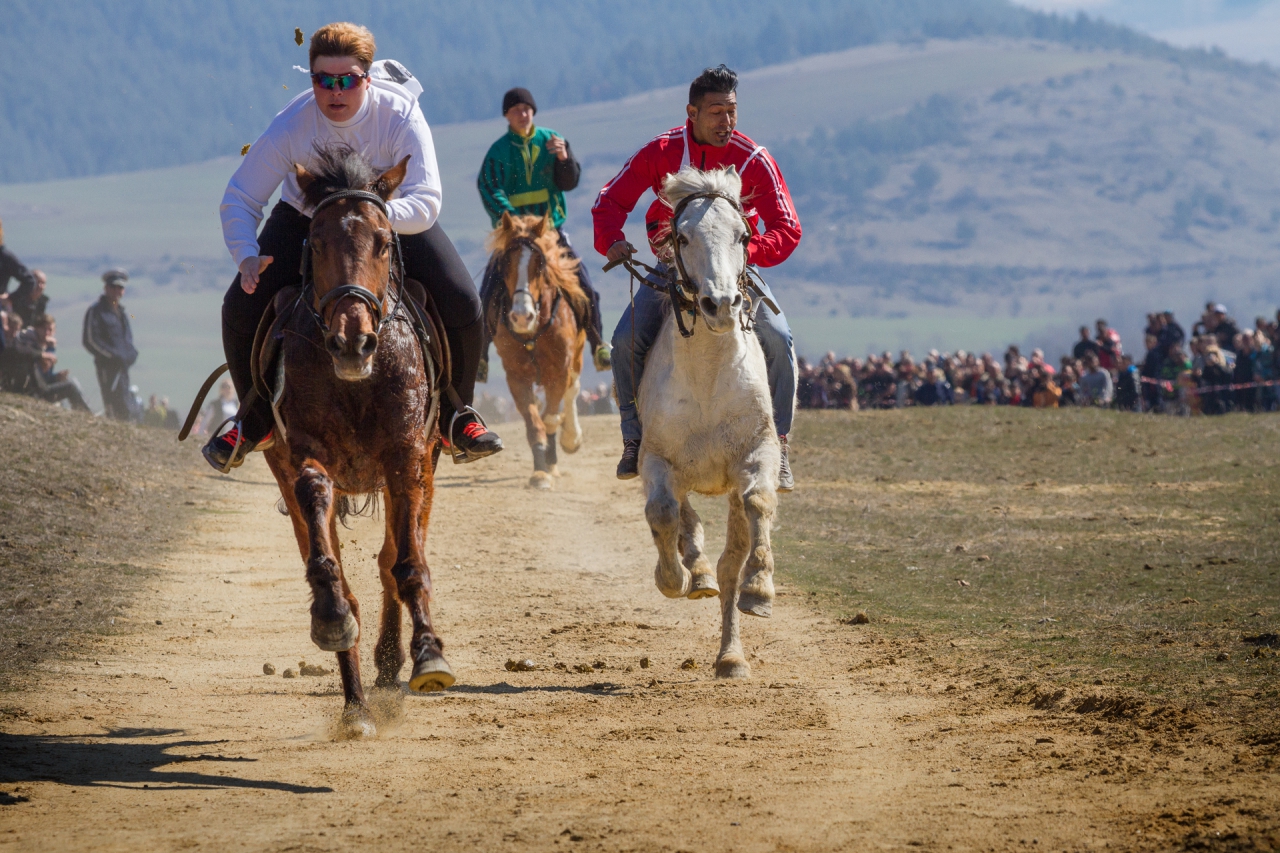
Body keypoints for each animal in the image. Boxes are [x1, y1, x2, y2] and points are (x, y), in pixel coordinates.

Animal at [259, 144, 455, 732]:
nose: (353, 342)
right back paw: (357, 704)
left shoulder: (407, 457)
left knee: (395, 558)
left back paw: (393, 661)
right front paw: (332, 618)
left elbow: (407, 564)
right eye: (316, 241)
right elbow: (329, 565)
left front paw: (428, 654)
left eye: (384, 241)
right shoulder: (303, 457)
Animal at [488, 212, 588, 489]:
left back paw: (571, 438)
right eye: (505, 263)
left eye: (540, 264)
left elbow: (551, 416)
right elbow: (534, 422)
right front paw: (540, 471)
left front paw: (552, 461)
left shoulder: (559, 372)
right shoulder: (516, 375)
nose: (522, 317)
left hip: (577, 356)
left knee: (573, 390)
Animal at [629, 162, 778, 676]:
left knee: (731, 559)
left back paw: (731, 657)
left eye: (743, 235)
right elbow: (662, 512)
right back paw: (696, 576)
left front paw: (760, 589)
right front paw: (672, 578)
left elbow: (759, 504)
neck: (711, 374)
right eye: (683, 236)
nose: (720, 305)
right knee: (684, 520)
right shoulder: (655, 460)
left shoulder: (758, 452)